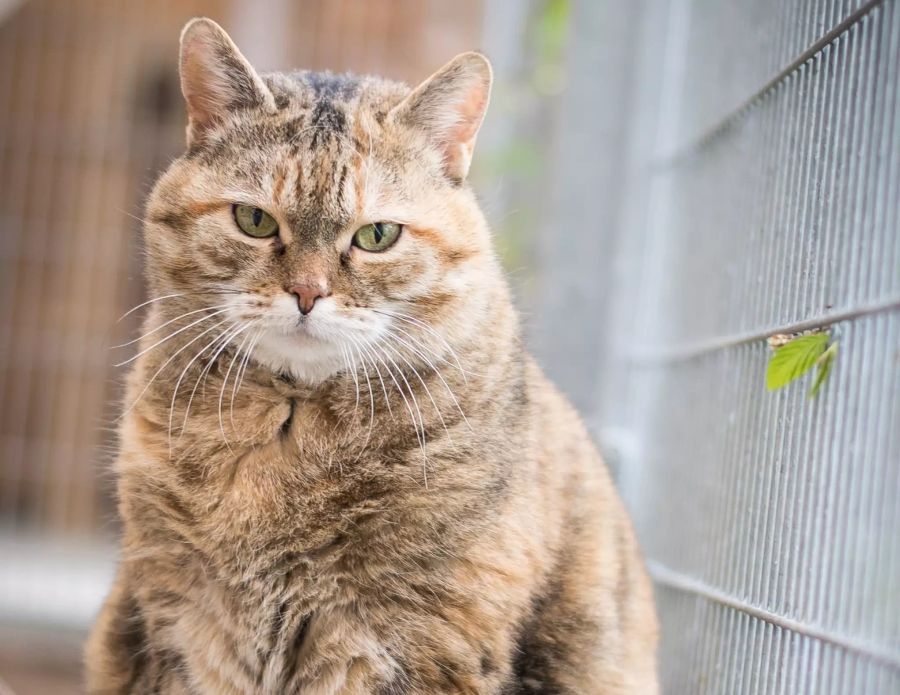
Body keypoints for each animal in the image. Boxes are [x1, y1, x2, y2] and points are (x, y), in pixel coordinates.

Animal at [86, 17, 660, 695]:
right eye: (254, 220)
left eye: (377, 235)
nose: (307, 293)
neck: (290, 429)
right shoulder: (183, 625)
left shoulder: (416, 643)